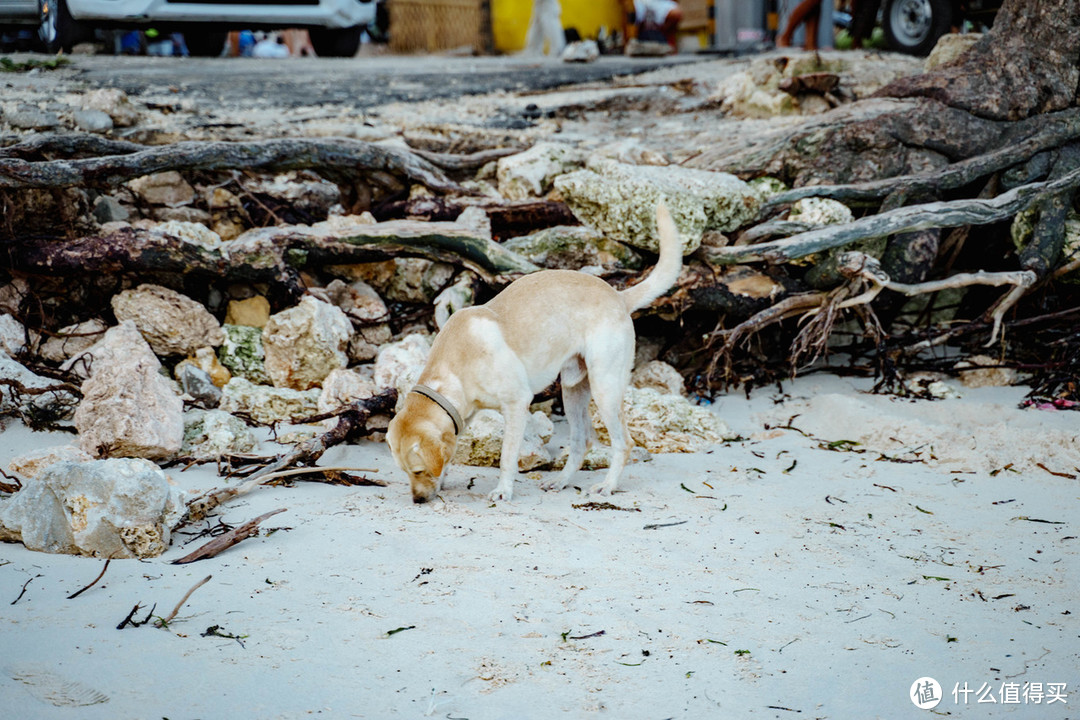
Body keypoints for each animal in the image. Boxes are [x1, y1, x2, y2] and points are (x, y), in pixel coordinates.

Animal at [384, 202, 678, 505]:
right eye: (405, 472)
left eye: (418, 470)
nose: (417, 500)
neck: (454, 368)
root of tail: (619, 296)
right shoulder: (462, 417)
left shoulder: (517, 404)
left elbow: (506, 457)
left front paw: (503, 490)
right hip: (573, 391)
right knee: (581, 441)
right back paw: (561, 481)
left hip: (605, 389)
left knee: (623, 443)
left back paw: (607, 485)